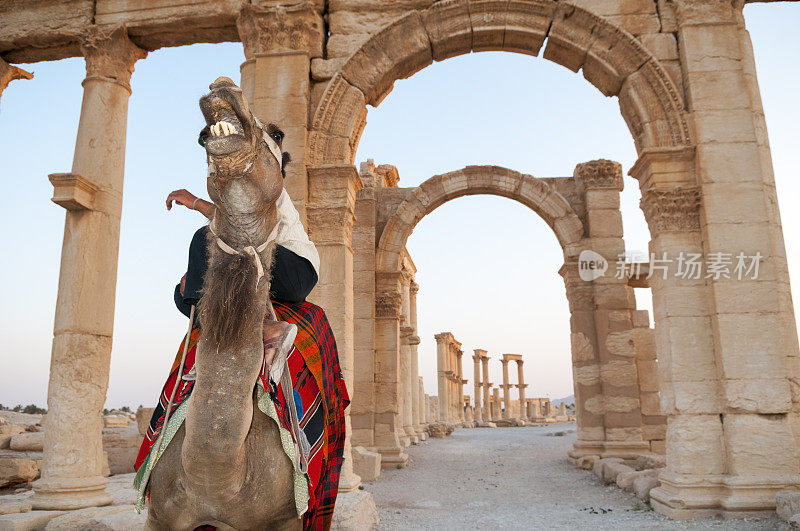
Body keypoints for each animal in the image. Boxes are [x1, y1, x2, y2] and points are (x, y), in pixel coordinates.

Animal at [144, 77, 304, 528]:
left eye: (278, 133)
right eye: (201, 135)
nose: (223, 85)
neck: (223, 479)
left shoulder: (287, 517)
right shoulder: (160, 515)